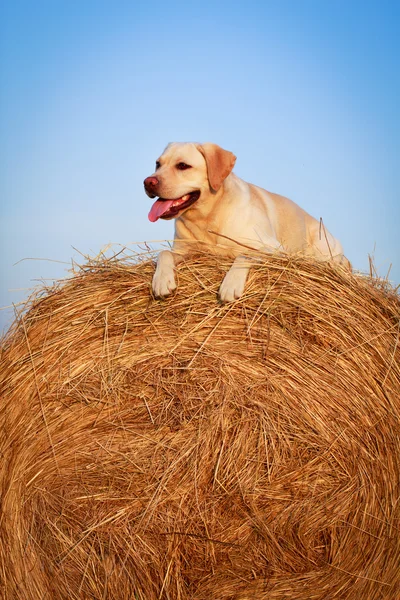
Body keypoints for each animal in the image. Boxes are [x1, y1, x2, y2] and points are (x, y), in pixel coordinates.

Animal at [143, 144, 346, 302]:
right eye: (157, 164)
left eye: (183, 166)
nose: (148, 182)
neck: (209, 216)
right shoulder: (185, 251)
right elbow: (164, 253)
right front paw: (161, 280)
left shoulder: (275, 249)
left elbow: (244, 255)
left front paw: (230, 285)